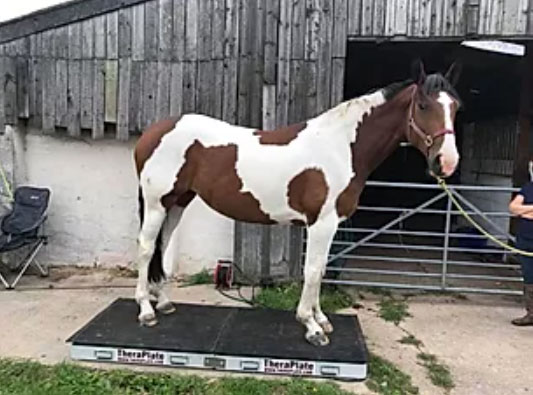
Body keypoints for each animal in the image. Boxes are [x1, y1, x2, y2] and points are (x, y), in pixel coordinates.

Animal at [133, 60, 462, 348]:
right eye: (423, 105)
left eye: (455, 107)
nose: (446, 162)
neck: (341, 146)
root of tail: (153, 132)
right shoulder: (321, 223)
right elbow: (313, 270)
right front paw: (312, 326)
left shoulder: (331, 224)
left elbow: (322, 269)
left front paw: (321, 318)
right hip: (156, 204)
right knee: (147, 247)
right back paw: (146, 310)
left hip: (176, 203)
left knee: (163, 249)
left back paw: (164, 302)